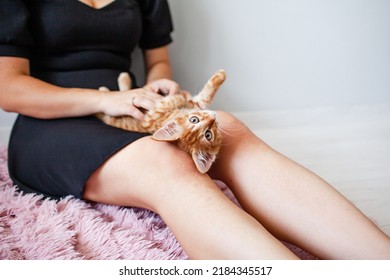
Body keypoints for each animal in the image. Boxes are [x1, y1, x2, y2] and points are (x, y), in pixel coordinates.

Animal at [96, 69, 227, 173]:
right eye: (194, 120)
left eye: (208, 135)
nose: (213, 117)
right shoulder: (150, 118)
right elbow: (202, 95)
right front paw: (222, 74)